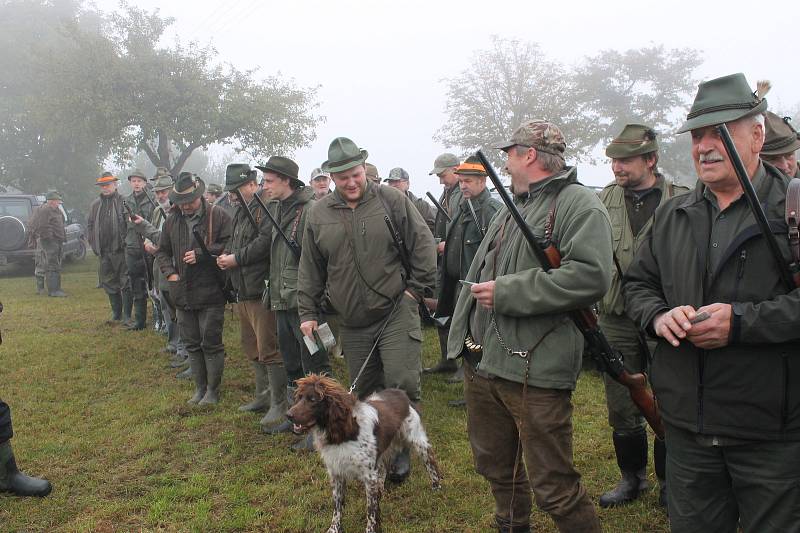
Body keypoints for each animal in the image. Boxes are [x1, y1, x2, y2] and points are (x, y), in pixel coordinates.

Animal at [286, 374, 440, 532]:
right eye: (300, 397)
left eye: (313, 399)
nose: (288, 415)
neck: (343, 433)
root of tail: (401, 393)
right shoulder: (337, 473)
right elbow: (337, 507)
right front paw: (334, 528)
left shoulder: (368, 475)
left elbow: (370, 510)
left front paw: (371, 529)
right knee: (383, 470)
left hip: (417, 440)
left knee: (431, 461)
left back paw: (436, 487)